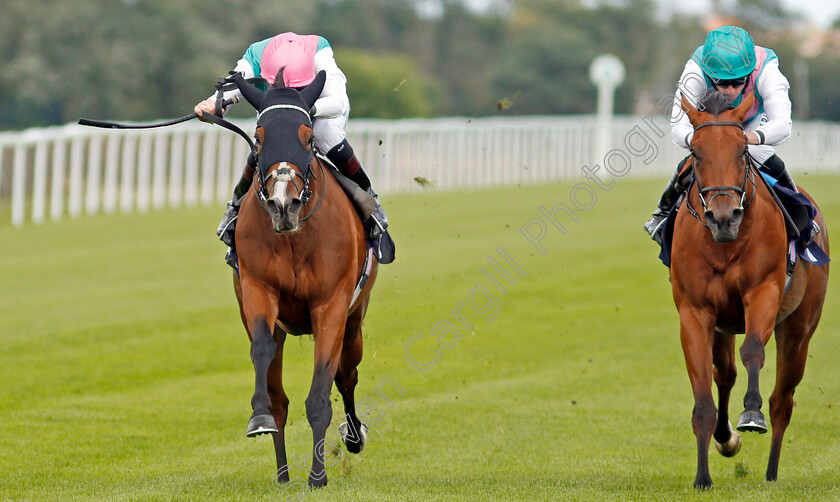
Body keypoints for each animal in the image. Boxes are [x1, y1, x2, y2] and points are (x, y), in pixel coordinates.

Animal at [226, 72, 378, 488]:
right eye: (258, 138)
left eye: (308, 138)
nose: (283, 205)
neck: (295, 237)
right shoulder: (258, 293)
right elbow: (262, 354)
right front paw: (259, 417)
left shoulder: (332, 305)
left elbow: (321, 393)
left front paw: (318, 476)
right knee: (281, 392)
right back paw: (281, 474)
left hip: (355, 320)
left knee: (347, 374)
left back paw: (354, 437)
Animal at [672, 91, 832, 490]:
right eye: (696, 152)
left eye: (742, 150)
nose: (723, 216)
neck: (724, 244)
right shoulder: (696, 313)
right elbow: (704, 396)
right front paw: (703, 477)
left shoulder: (763, 292)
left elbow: (754, 352)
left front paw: (750, 414)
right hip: (723, 325)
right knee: (725, 373)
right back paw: (725, 439)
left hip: (798, 330)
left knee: (782, 401)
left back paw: (772, 472)